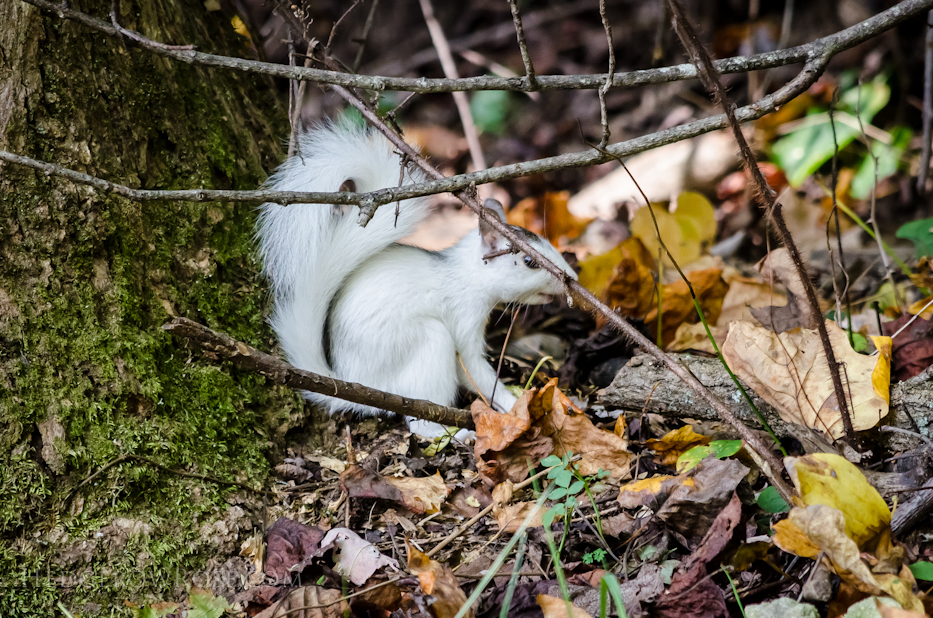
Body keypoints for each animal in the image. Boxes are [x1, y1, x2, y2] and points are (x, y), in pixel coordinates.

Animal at [255, 121, 576, 438]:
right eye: (530, 262)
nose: (571, 276)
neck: (466, 276)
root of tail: (358, 387)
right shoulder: (463, 320)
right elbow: (476, 371)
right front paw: (515, 407)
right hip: (429, 344)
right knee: (420, 424)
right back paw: (462, 434)